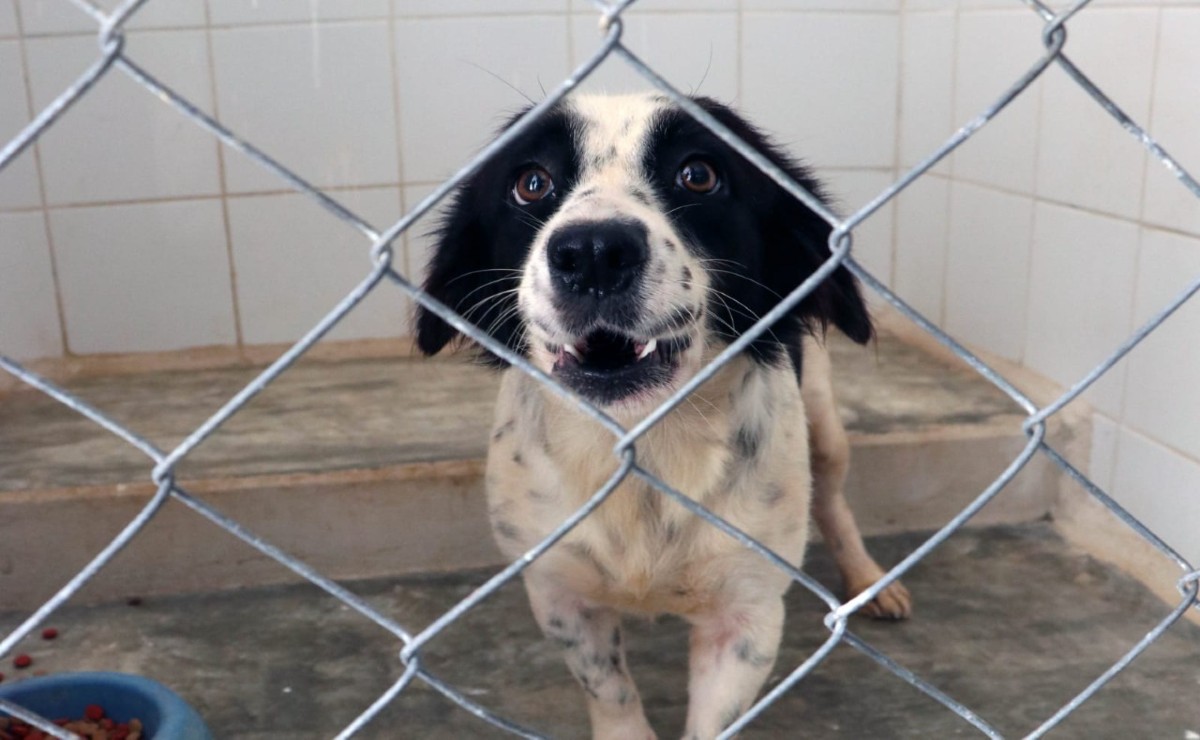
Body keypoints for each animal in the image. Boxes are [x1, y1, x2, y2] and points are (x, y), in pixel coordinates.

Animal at [412, 93, 907, 738]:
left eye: (699, 174)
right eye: (530, 182)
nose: (593, 253)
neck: (641, 442)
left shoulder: (746, 614)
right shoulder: (559, 596)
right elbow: (610, 692)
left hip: (824, 429)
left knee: (833, 502)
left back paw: (869, 581)